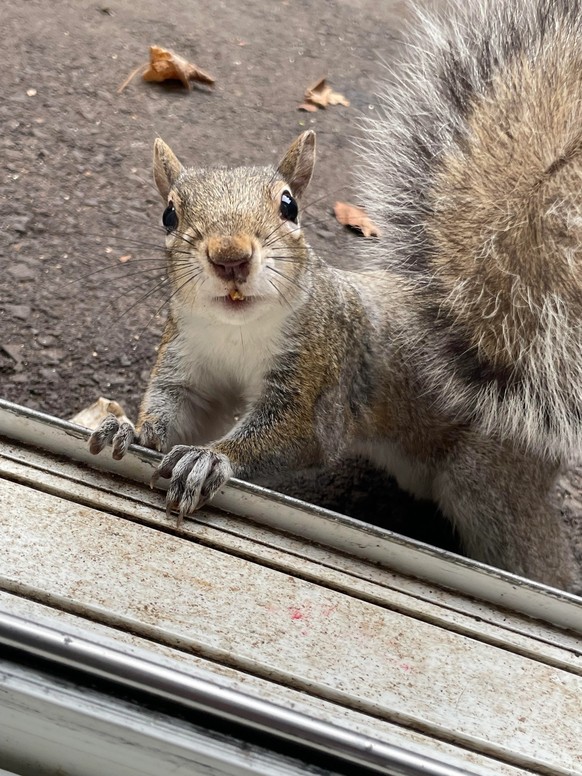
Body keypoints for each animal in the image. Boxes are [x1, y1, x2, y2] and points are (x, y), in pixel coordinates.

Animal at [89, 0, 580, 592]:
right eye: (168, 214)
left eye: (289, 206)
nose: (230, 257)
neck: (236, 332)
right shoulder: (190, 361)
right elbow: (176, 411)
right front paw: (127, 428)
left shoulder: (320, 368)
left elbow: (301, 434)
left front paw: (208, 460)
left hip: (488, 478)